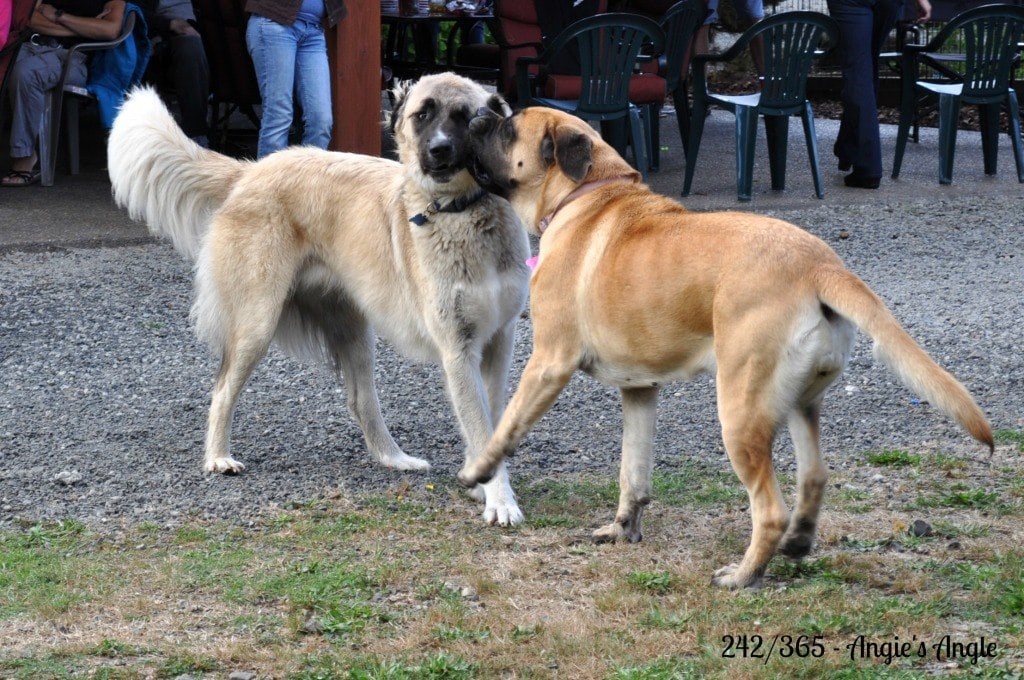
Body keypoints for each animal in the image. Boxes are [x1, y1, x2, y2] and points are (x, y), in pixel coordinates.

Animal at [107, 78, 532, 524]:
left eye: (465, 117)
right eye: (423, 115)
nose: (439, 150)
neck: (463, 212)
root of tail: (251, 169)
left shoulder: (498, 342)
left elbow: (492, 421)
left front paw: (482, 485)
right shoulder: (457, 348)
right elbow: (481, 426)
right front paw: (499, 500)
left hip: (355, 332)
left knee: (360, 400)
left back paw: (394, 458)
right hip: (256, 325)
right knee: (222, 388)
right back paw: (218, 457)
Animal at [458, 109, 991, 585]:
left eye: (509, 126)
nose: (477, 116)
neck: (586, 193)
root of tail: (819, 265)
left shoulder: (549, 363)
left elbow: (506, 426)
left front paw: (478, 472)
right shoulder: (640, 390)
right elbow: (633, 471)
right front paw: (623, 527)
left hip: (740, 410)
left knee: (770, 509)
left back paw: (743, 575)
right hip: (800, 403)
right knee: (814, 477)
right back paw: (797, 543)